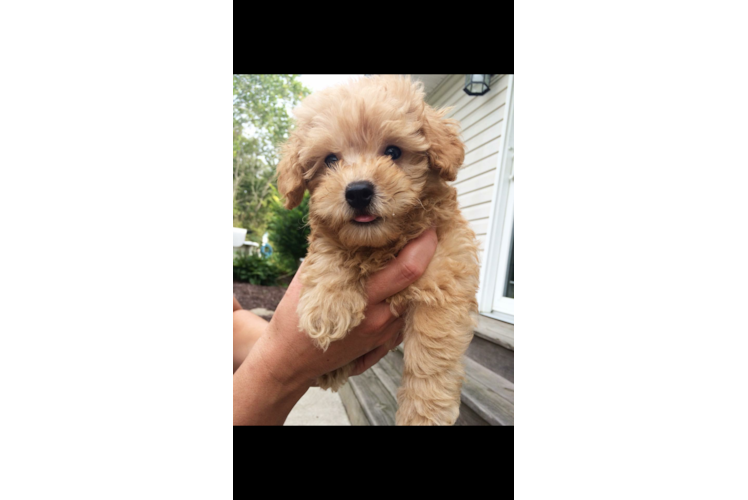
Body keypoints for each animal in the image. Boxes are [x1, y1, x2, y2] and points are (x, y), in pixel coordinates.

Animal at [276, 74, 480, 426]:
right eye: (330, 159)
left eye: (393, 151)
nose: (358, 192)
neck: (381, 244)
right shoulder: (329, 238)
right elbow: (328, 251)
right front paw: (327, 307)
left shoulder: (446, 275)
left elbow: (432, 349)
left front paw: (423, 413)